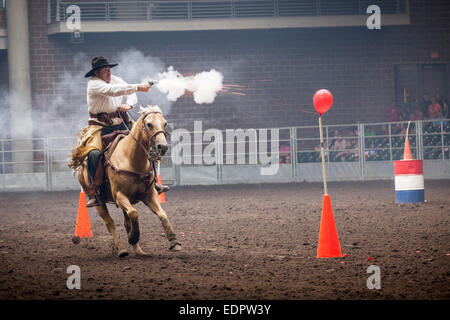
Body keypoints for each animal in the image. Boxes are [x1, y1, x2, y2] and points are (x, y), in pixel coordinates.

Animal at [76, 105, 180, 258]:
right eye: (149, 124)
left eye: (165, 123)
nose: (163, 146)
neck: (131, 159)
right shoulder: (119, 196)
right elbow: (134, 214)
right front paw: (133, 237)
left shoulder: (149, 195)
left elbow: (161, 214)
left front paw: (174, 241)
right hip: (98, 202)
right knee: (110, 223)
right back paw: (122, 250)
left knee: (126, 222)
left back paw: (139, 251)